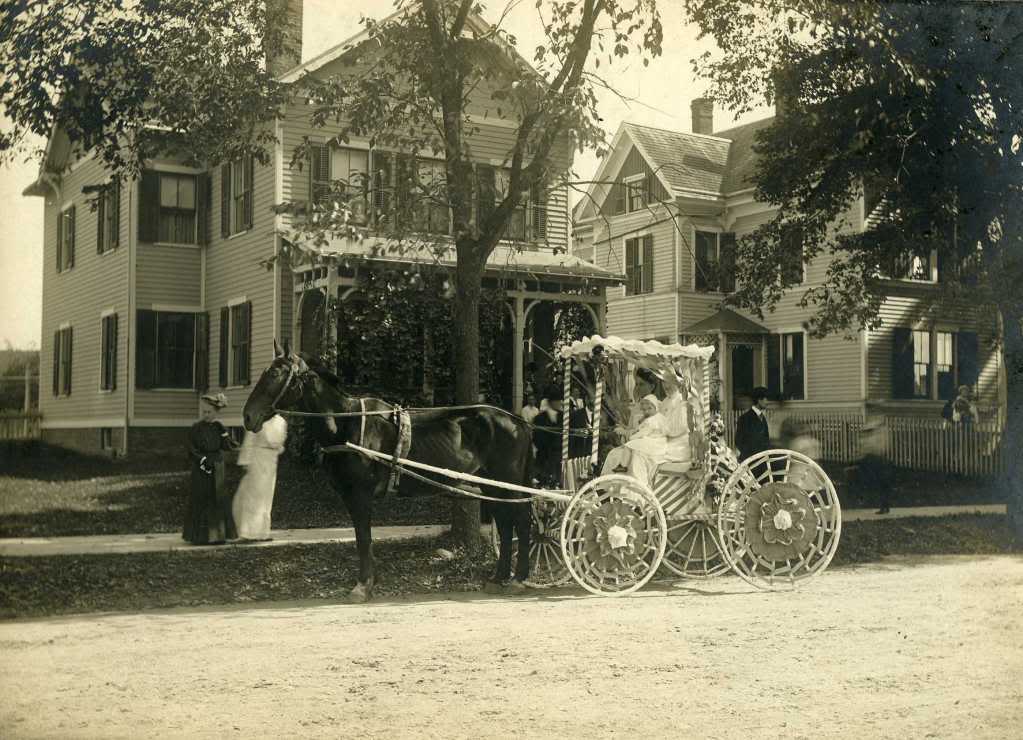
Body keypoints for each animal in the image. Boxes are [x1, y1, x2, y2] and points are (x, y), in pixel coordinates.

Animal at [240, 341, 536, 601]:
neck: (345, 424)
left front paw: (363, 586)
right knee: (506, 524)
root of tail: (518, 421)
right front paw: (369, 581)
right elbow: (363, 539)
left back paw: (519, 578)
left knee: (521, 521)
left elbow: (363, 538)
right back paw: (499, 577)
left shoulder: (360, 494)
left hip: (506, 482)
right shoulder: (350, 496)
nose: (247, 416)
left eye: (275, 373)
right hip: (491, 484)